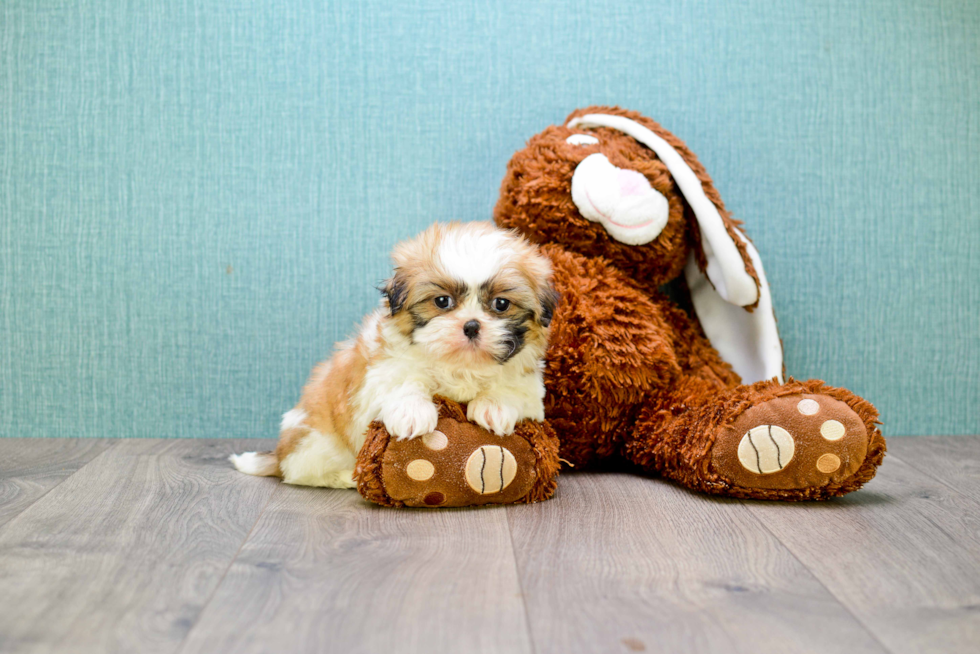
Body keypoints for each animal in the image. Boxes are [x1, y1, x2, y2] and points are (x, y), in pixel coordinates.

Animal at [225, 223, 556, 490]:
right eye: (442, 301)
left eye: (501, 304)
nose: (472, 325)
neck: (460, 367)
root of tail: (281, 453)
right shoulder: (379, 372)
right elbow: (403, 380)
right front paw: (413, 414)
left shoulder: (530, 389)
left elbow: (513, 388)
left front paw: (494, 407)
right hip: (316, 440)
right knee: (302, 473)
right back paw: (345, 478)